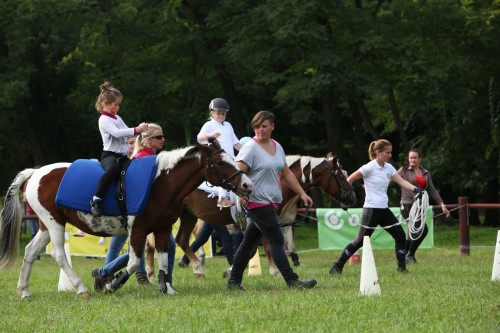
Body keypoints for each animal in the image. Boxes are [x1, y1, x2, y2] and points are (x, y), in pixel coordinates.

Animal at [0, 141, 250, 296]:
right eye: (220, 163)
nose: (247, 184)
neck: (160, 183)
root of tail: (36, 172)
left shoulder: (161, 229)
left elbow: (161, 260)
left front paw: (166, 288)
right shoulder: (138, 230)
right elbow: (131, 262)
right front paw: (112, 284)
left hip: (45, 225)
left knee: (30, 252)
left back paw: (24, 290)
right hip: (54, 223)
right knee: (59, 255)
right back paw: (81, 288)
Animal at [148, 154, 356, 278]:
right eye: (341, 176)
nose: (351, 197)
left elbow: (252, 248)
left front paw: (232, 269)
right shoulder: (263, 221)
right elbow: (265, 247)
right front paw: (273, 270)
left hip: (188, 215)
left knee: (182, 240)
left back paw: (195, 268)